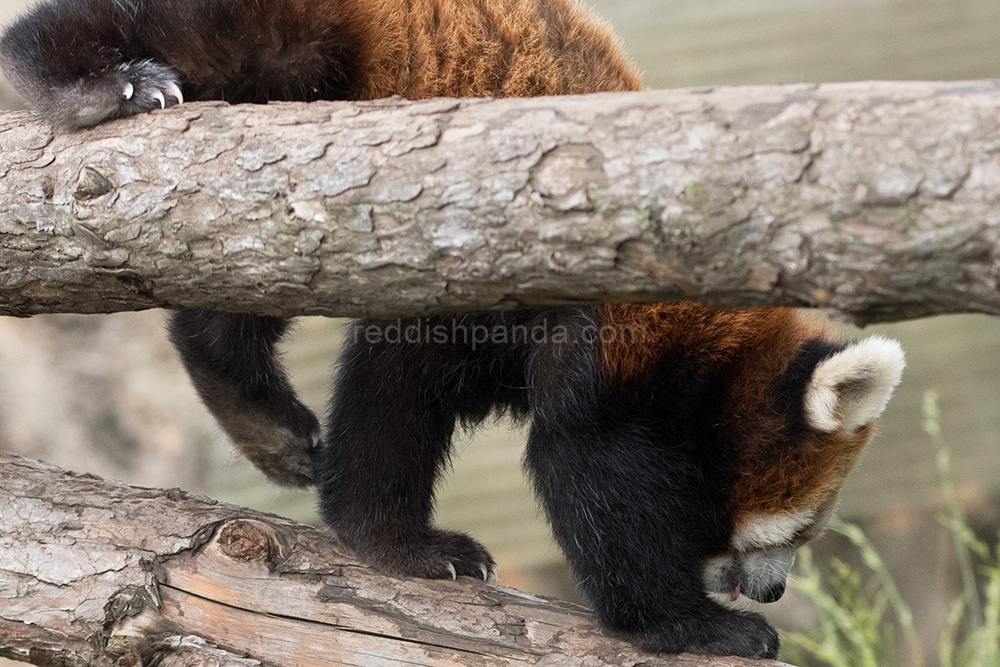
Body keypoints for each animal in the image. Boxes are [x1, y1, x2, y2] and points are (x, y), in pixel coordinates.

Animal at [0, 0, 908, 656]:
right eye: (798, 527)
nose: (775, 588)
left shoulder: (473, 307)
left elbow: (395, 397)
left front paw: (394, 540)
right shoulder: (616, 325)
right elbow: (584, 465)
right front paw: (691, 625)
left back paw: (258, 413)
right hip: (296, 38)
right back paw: (96, 83)